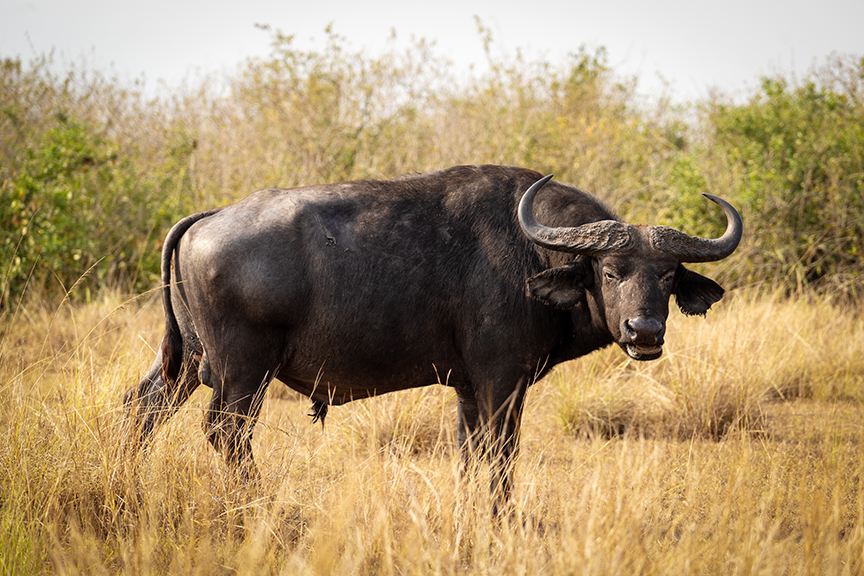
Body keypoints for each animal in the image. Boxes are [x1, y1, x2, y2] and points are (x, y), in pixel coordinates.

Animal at [126, 164, 741, 507]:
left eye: (667, 275)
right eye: (611, 272)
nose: (646, 331)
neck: (533, 254)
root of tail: (210, 216)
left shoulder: (469, 389)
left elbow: (472, 453)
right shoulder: (502, 382)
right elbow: (502, 454)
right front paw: (500, 518)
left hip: (187, 364)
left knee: (142, 407)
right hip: (242, 372)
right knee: (224, 434)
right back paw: (256, 502)